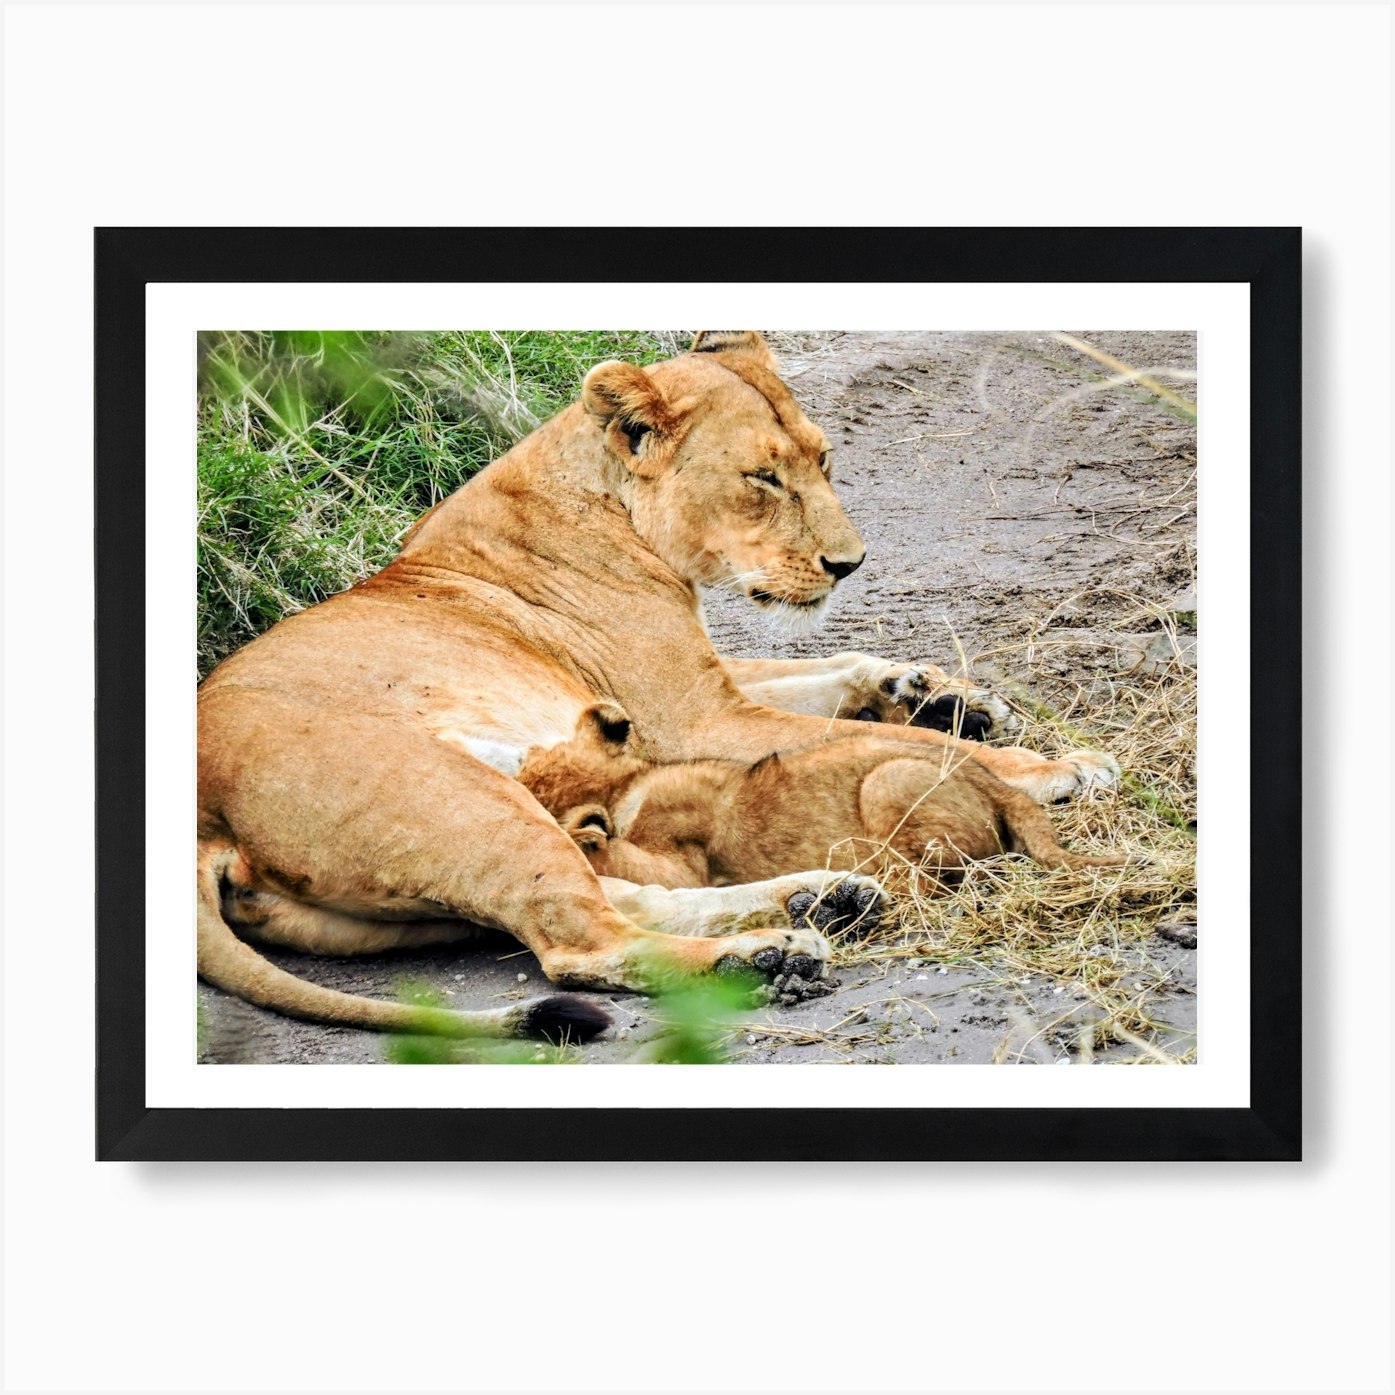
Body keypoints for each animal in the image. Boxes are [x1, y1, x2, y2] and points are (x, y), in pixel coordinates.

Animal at [520, 703, 1124, 896]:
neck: (624, 787)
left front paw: (584, 839)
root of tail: (997, 785)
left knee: (935, 879)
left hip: (887, 782)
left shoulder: (686, 866)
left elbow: (621, 855)